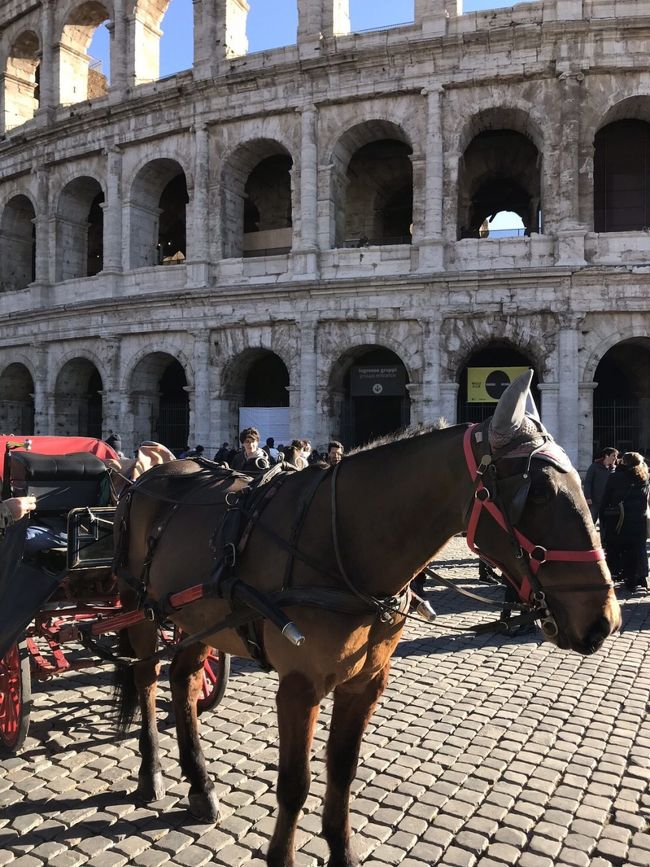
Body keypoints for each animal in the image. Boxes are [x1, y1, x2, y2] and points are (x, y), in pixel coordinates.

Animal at [111, 372, 616, 867]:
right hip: (141, 607)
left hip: (196, 617)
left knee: (184, 680)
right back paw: (151, 774)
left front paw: (342, 850)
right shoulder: (299, 687)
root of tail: (148, 473)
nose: (604, 621)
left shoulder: (367, 680)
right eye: (540, 492)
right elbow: (295, 783)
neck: (342, 546)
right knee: (145, 678)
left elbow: (343, 768)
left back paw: (200, 785)